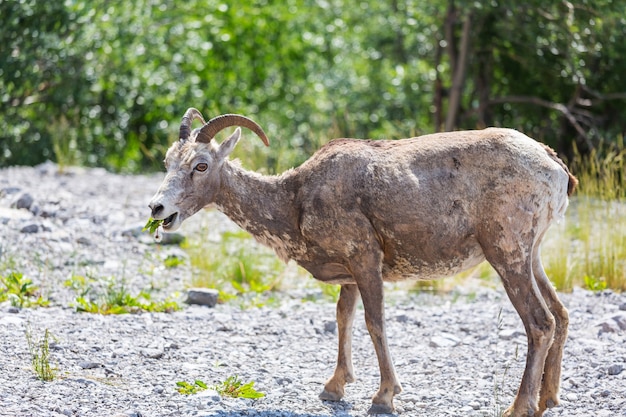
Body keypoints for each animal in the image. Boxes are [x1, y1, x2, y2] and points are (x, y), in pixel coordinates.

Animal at [149, 108, 576, 416]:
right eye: (168, 162)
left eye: (201, 165)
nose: (157, 208)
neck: (295, 201)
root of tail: (555, 168)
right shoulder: (350, 274)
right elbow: (344, 318)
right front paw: (333, 388)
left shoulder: (366, 258)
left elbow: (374, 322)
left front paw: (384, 398)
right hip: (532, 255)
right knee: (561, 313)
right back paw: (549, 399)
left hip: (506, 252)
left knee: (541, 322)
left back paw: (520, 408)